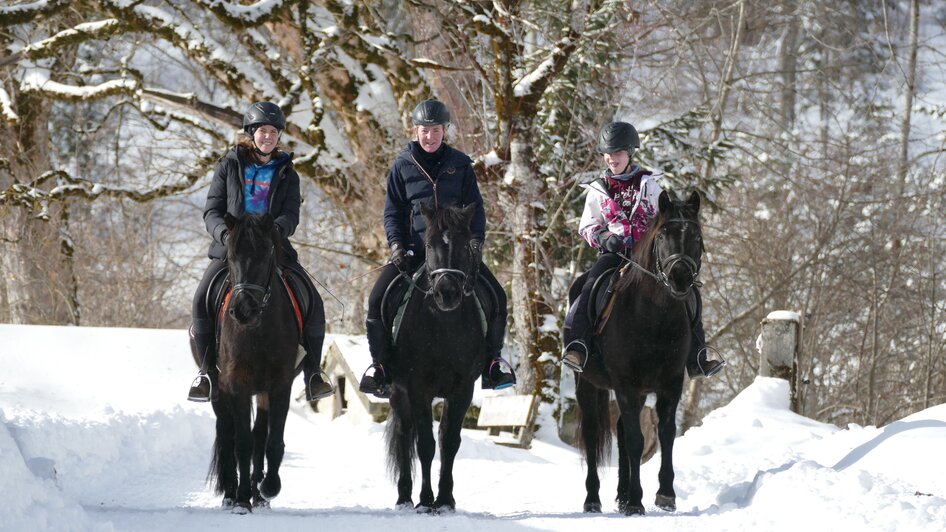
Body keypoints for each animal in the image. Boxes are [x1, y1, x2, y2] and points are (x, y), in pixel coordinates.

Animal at [189, 214, 298, 512]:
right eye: (231, 256)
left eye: (266, 253)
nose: (243, 310)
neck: (257, 330)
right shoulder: (236, 385)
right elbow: (243, 443)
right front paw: (240, 499)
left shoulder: (279, 385)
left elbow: (272, 440)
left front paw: (268, 487)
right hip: (218, 387)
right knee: (227, 433)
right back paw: (230, 493)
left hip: (261, 391)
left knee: (260, 433)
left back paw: (258, 495)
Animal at [384, 203, 486, 512]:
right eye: (429, 244)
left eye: (465, 244)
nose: (447, 292)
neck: (443, 323)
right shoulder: (418, 387)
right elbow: (425, 445)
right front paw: (426, 501)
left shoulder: (463, 388)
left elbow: (449, 441)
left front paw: (445, 499)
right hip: (398, 392)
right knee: (405, 435)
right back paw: (405, 497)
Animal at [572, 190, 704, 516]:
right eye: (663, 235)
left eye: (696, 236)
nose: (680, 277)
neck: (655, 316)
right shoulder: (626, 385)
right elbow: (635, 439)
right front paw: (635, 501)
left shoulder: (670, 384)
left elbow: (665, 434)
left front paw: (665, 494)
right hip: (586, 384)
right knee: (593, 434)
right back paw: (593, 499)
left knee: (619, 433)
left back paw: (619, 496)